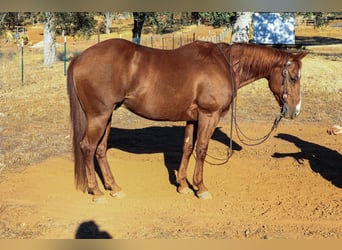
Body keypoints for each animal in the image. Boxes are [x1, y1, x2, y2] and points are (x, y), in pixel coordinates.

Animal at [67, 38, 308, 200]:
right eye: (293, 78)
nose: (294, 111)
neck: (224, 65)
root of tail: (79, 58)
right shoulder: (209, 116)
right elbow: (201, 149)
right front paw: (200, 187)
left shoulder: (193, 118)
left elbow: (187, 148)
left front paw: (182, 184)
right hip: (99, 116)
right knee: (88, 147)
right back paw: (96, 191)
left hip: (107, 116)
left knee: (100, 150)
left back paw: (114, 187)